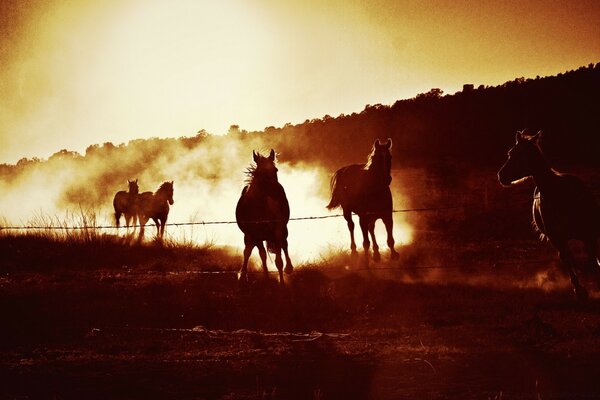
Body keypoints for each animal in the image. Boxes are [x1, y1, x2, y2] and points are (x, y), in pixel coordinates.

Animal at [234, 149, 292, 284]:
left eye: (276, 170)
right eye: (260, 172)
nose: (279, 192)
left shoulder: (276, 232)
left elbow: (278, 260)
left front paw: (282, 282)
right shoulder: (255, 235)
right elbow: (261, 255)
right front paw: (265, 278)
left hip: (282, 230)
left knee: (284, 246)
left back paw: (289, 268)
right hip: (250, 236)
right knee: (250, 251)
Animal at [326, 139, 400, 268]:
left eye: (390, 157)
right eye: (376, 158)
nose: (386, 179)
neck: (375, 191)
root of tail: (344, 169)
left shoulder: (387, 216)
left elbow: (390, 239)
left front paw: (393, 255)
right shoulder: (363, 218)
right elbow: (366, 242)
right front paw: (366, 261)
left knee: (371, 228)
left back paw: (376, 254)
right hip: (348, 212)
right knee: (351, 226)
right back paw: (354, 252)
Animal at [496, 130, 600, 298]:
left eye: (517, 153)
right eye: (510, 153)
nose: (501, 175)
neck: (559, 194)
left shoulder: (588, 234)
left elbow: (592, 260)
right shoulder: (557, 238)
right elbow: (569, 259)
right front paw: (579, 289)